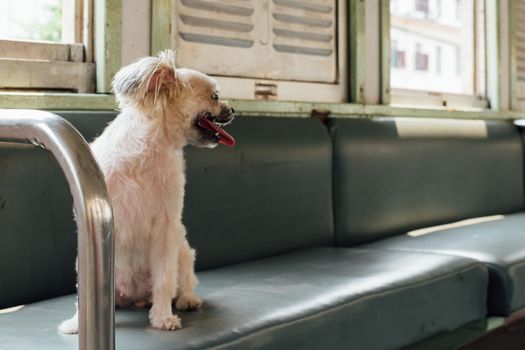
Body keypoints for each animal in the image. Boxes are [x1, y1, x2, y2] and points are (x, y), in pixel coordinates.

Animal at [57, 48, 235, 330]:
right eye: (215, 96)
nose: (233, 109)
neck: (148, 153)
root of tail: (135, 298)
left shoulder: (166, 229)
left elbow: (164, 280)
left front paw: (162, 317)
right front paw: (76, 323)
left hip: (183, 252)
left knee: (182, 281)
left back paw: (187, 299)